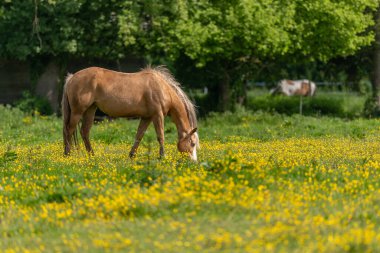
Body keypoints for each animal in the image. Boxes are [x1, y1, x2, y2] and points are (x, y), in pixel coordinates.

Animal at [60, 66, 200, 161]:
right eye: (192, 143)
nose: (194, 162)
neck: (162, 88)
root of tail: (72, 78)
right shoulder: (157, 115)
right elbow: (160, 136)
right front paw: (162, 156)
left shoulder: (147, 117)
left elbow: (139, 135)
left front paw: (132, 155)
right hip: (78, 112)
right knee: (69, 130)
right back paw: (67, 154)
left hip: (90, 110)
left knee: (84, 131)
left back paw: (92, 155)